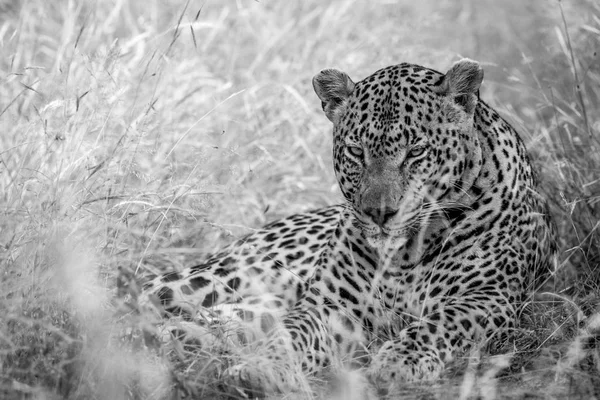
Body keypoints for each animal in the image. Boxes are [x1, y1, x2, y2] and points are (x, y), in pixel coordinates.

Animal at [141, 57, 556, 396]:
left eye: (416, 152)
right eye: (357, 151)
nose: (379, 212)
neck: (405, 254)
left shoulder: (487, 297)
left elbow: (441, 322)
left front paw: (399, 360)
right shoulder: (330, 306)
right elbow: (291, 333)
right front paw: (265, 365)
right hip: (221, 277)